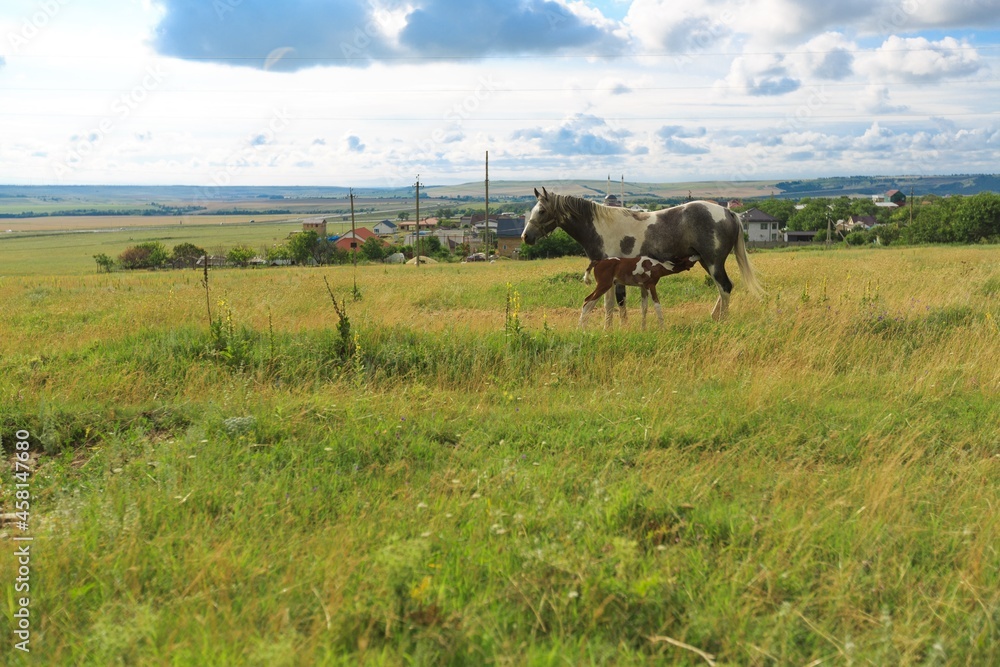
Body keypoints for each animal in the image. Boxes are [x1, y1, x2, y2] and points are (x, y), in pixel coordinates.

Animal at [524, 188, 764, 324]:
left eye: (542, 211)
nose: (526, 236)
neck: (600, 227)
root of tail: (727, 212)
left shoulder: (611, 277)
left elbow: (612, 305)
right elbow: (614, 305)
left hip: (713, 262)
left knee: (724, 288)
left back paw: (723, 321)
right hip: (706, 262)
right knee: (723, 288)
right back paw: (714, 317)